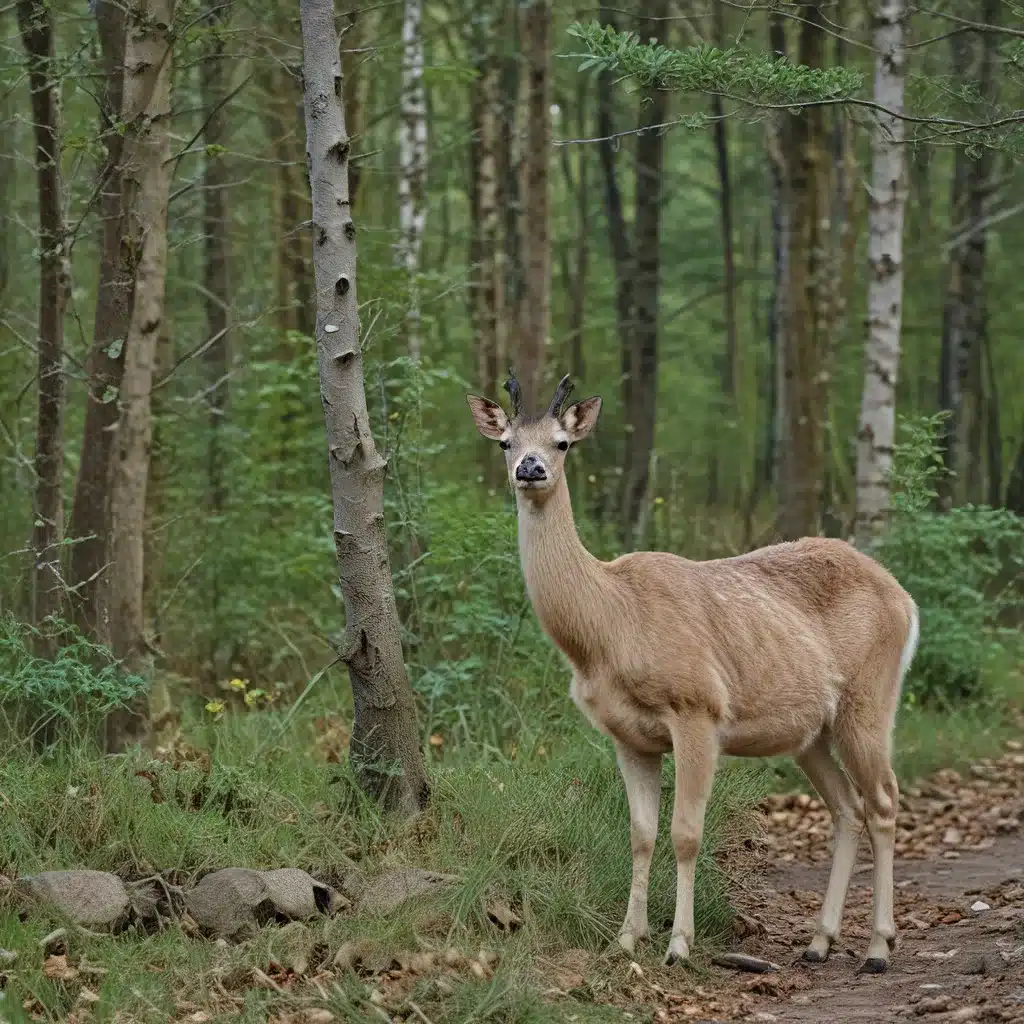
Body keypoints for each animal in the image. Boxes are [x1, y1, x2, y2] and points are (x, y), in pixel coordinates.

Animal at [468, 370, 917, 974]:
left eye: (562, 443)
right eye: (505, 442)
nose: (531, 468)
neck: (611, 626)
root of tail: (904, 599)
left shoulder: (698, 708)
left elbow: (685, 833)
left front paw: (679, 944)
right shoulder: (628, 736)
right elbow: (640, 834)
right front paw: (626, 938)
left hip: (870, 699)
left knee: (885, 801)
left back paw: (877, 948)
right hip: (811, 731)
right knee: (847, 807)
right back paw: (820, 942)